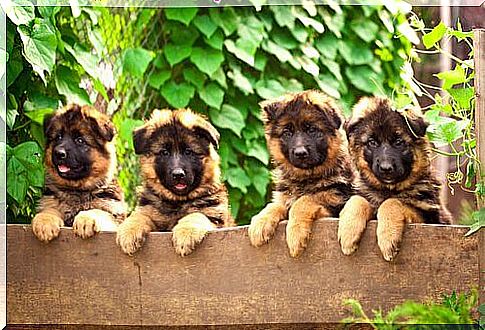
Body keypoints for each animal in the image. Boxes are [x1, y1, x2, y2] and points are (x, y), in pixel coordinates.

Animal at [31, 105, 125, 242]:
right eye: (58, 137)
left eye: (80, 140)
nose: (58, 153)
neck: (77, 190)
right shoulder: (50, 203)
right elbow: (49, 210)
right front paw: (44, 222)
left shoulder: (113, 216)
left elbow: (98, 211)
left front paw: (86, 220)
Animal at [115, 109, 233, 256]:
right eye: (164, 152)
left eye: (188, 152)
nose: (178, 175)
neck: (177, 202)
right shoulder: (149, 211)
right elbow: (138, 216)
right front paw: (128, 233)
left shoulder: (214, 215)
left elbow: (196, 214)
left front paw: (186, 234)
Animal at [250, 90, 352, 258]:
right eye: (287, 132)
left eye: (312, 130)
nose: (300, 153)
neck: (305, 177)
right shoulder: (285, 197)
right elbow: (274, 205)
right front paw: (260, 222)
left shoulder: (335, 201)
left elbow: (304, 200)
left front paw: (295, 234)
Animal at [336, 96, 450, 262]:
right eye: (372, 142)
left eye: (398, 142)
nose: (386, 168)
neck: (388, 189)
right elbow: (357, 199)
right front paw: (348, 232)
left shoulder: (429, 218)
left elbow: (393, 202)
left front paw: (388, 238)